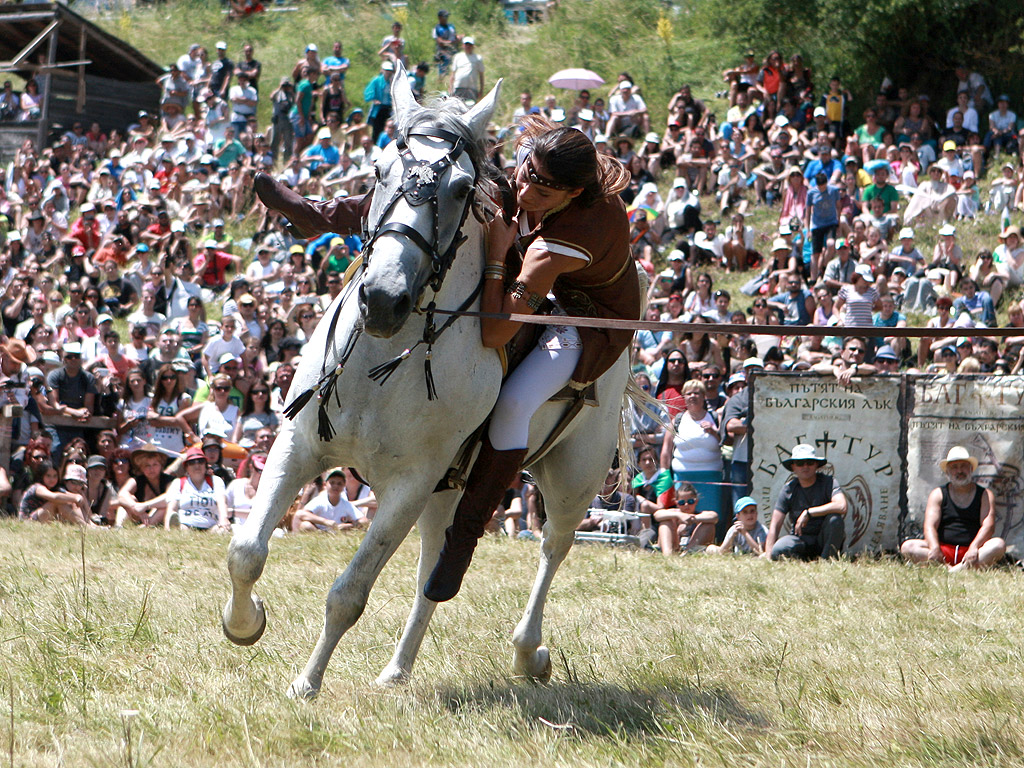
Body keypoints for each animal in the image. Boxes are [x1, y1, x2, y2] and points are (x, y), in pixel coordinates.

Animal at [223, 69, 634, 700]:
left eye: (463, 189)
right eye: (377, 172)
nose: (383, 299)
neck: (383, 359)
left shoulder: (409, 485)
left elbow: (348, 594)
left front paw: (306, 683)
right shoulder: (300, 445)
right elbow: (246, 551)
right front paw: (245, 624)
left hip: (572, 475)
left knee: (551, 546)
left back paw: (529, 653)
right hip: (448, 490)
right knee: (429, 572)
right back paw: (397, 670)